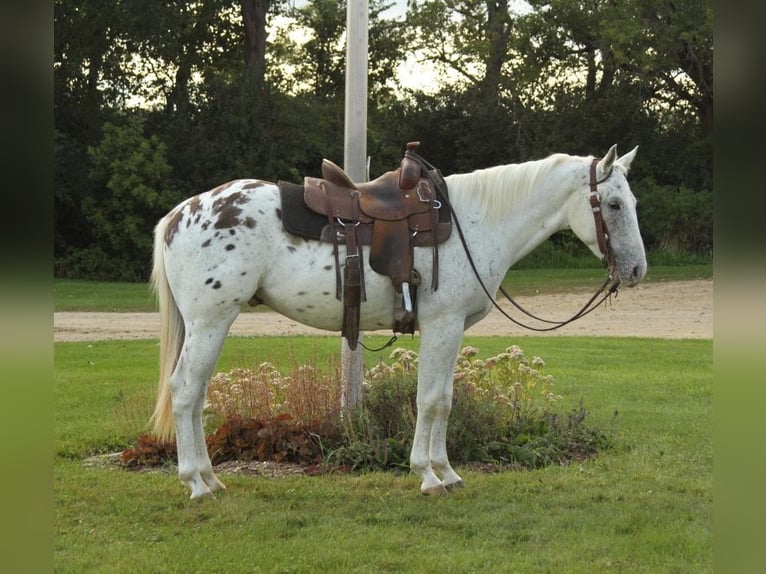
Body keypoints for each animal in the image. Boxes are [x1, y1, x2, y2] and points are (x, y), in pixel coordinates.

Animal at [150, 144, 648, 500]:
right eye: (614, 205)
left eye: (632, 202)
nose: (637, 269)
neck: (475, 222)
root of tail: (178, 215)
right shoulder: (443, 325)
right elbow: (430, 400)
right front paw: (428, 475)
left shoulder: (454, 328)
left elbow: (445, 399)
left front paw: (447, 471)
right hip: (210, 321)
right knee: (186, 392)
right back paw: (196, 483)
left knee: (195, 397)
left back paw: (211, 478)